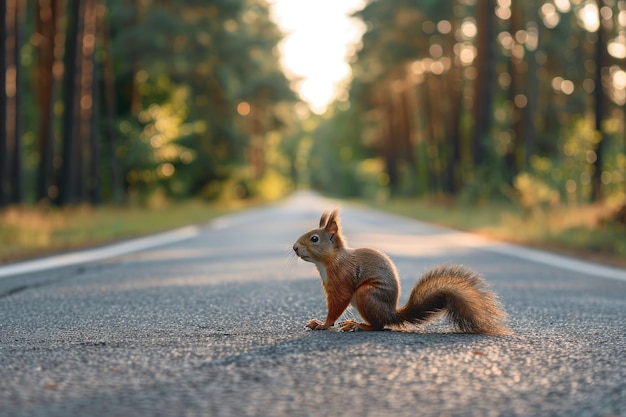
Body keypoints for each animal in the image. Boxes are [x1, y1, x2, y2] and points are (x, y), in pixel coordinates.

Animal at [290, 208, 510, 334]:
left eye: (314, 239)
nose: (294, 247)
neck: (329, 261)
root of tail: (392, 314)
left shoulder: (342, 278)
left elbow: (338, 304)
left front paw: (324, 324)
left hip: (366, 294)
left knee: (380, 326)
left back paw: (358, 325)